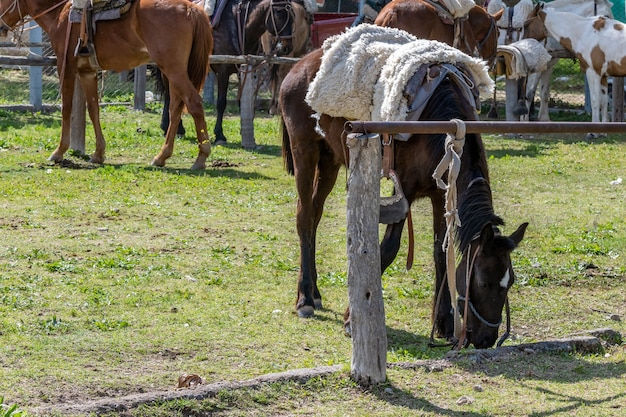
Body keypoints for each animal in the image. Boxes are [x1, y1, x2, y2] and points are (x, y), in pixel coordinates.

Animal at [0, 0, 212, 170]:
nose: (0, 28)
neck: (60, 13)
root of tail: (190, 8)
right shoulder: (87, 72)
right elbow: (93, 109)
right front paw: (98, 154)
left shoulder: (65, 67)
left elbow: (66, 108)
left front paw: (59, 152)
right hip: (172, 72)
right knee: (175, 108)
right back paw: (161, 157)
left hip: (173, 69)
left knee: (193, 102)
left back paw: (201, 157)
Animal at [280, 27, 528, 350]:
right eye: (484, 281)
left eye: (509, 281)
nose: (486, 339)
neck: (440, 130)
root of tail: (297, 68)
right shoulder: (404, 192)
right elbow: (388, 249)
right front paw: (350, 319)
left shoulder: (441, 195)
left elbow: (440, 253)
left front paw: (444, 323)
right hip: (305, 152)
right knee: (304, 217)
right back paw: (305, 299)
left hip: (330, 160)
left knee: (315, 216)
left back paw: (315, 294)